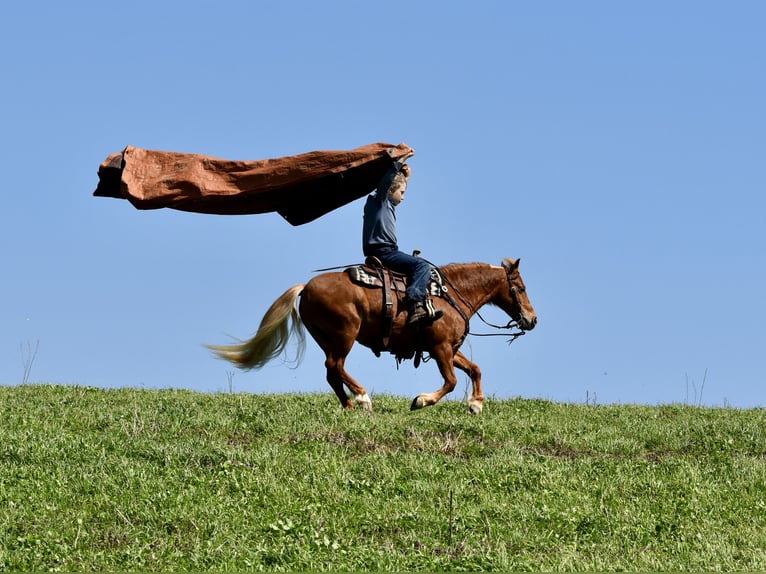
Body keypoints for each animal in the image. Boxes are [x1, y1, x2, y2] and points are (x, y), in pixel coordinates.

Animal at [206, 258, 537, 413]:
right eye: (520, 288)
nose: (532, 319)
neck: (448, 295)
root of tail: (306, 287)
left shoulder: (448, 350)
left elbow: (475, 370)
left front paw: (476, 404)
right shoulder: (441, 348)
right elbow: (452, 381)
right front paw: (422, 400)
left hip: (328, 338)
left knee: (332, 372)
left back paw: (350, 405)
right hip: (345, 334)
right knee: (335, 367)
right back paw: (363, 397)